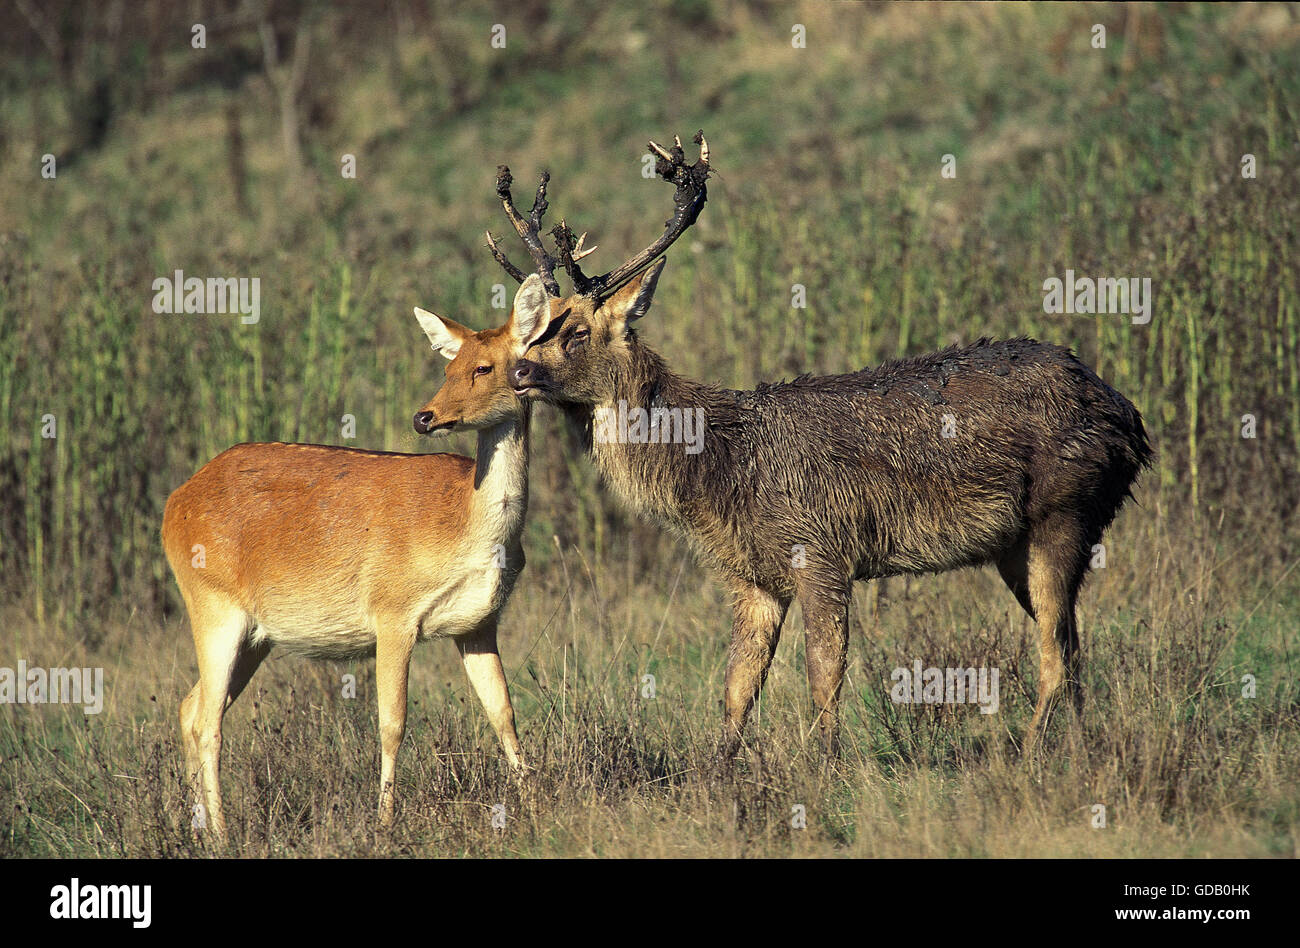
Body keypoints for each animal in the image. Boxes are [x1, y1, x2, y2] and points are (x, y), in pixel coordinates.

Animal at [161, 273, 548, 837]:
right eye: (447, 366)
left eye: (485, 366)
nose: (425, 416)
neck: (467, 528)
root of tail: (173, 504)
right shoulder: (392, 612)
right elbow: (392, 722)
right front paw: (384, 822)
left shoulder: (478, 624)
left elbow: (504, 712)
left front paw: (536, 804)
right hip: (212, 608)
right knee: (208, 720)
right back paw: (224, 834)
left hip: (255, 636)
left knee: (190, 709)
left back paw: (200, 829)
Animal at [499, 133, 1159, 759]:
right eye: (534, 328)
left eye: (577, 332)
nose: (518, 370)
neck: (721, 471)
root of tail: (1129, 417)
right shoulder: (753, 577)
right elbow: (736, 691)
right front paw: (716, 778)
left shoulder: (820, 550)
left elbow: (823, 678)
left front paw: (825, 771)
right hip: (1017, 544)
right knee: (1073, 648)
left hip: (1063, 508)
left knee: (1056, 657)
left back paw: (1026, 758)